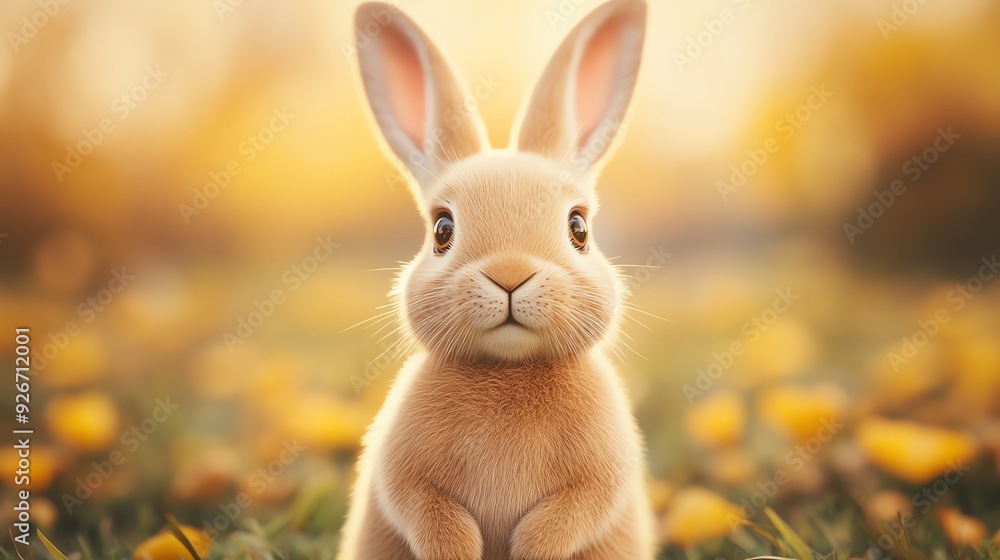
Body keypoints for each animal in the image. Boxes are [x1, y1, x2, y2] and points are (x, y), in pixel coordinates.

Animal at [338, 0, 653, 558]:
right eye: (442, 230)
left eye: (579, 228)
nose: (510, 276)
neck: (508, 369)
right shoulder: (405, 476)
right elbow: (430, 515)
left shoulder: (600, 478)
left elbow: (566, 518)